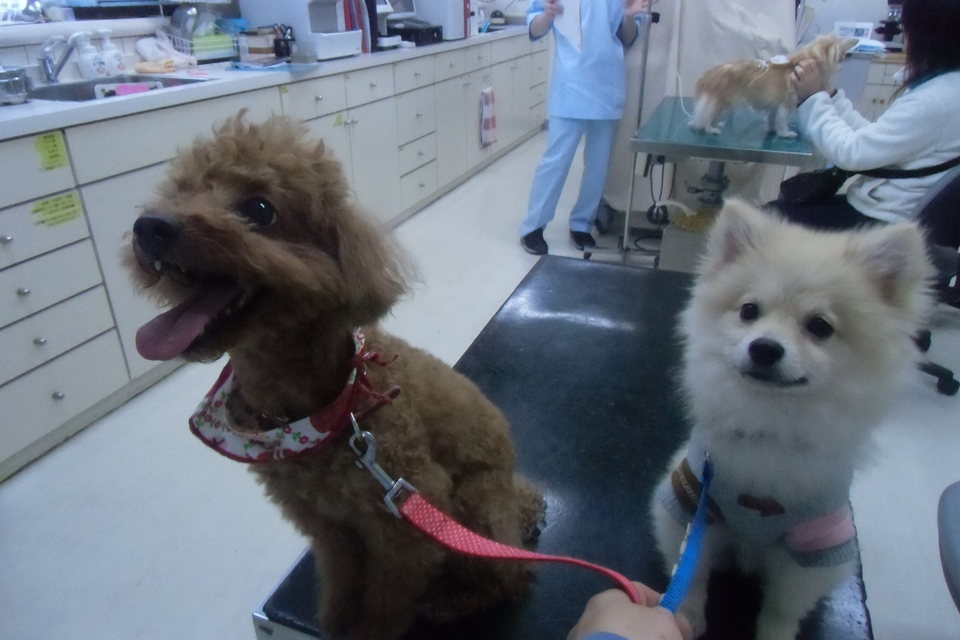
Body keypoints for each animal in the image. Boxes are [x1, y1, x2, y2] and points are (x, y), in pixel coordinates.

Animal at [126, 115, 544, 640]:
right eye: (182, 191)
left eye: (259, 209)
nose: (150, 227)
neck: (324, 408)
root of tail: (517, 500)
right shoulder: (328, 525)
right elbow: (341, 579)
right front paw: (336, 620)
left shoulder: (405, 516)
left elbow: (388, 600)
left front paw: (371, 629)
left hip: (475, 507)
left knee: (509, 575)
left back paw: (455, 601)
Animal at [651, 200, 933, 640]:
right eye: (749, 311)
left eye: (820, 326)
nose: (764, 347)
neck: (771, 424)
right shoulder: (689, 505)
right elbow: (692, 573)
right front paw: (688, 616)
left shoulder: (817, 545)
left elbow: (783, 606)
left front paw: (775, 634)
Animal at [689, 34, 859, 138]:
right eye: (842, 57)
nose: (842, 68)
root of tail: (708, 75)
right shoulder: (786, 104)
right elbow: (782, 121)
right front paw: (785, 133)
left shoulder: (774, 105)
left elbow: (772, 118)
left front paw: (771, 129)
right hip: (721, 102)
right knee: (707, 118)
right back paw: (711, 128)